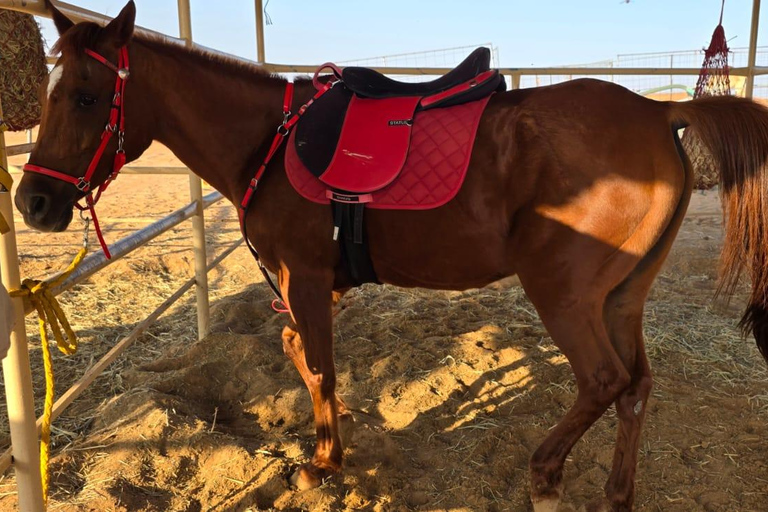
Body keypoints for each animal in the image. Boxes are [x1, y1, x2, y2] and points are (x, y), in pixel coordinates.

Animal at [15, 2, 768, 510]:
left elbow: (318, 364)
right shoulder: (311, 286)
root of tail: (657, 112)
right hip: (621, 297)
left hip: (565, 292)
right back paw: (615, 492)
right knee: (636, 387)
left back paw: (546, 473)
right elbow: (299, 350)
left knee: (603, 381)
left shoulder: (306, 279)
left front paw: (324, 461)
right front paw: (340, 424)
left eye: (86, 97)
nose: (32, 204)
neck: (270, 141)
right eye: (52, 95)